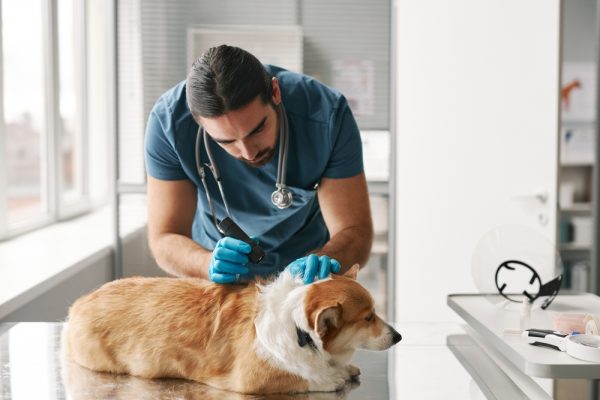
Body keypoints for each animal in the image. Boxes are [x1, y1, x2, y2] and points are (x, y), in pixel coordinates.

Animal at [63, 264, 400, 392]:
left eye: (375, 312)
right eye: (368, 317)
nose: (399, 336)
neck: (299, 329)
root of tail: (78, 304)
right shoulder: (254, 378)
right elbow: (305, 377)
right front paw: (332, 377)